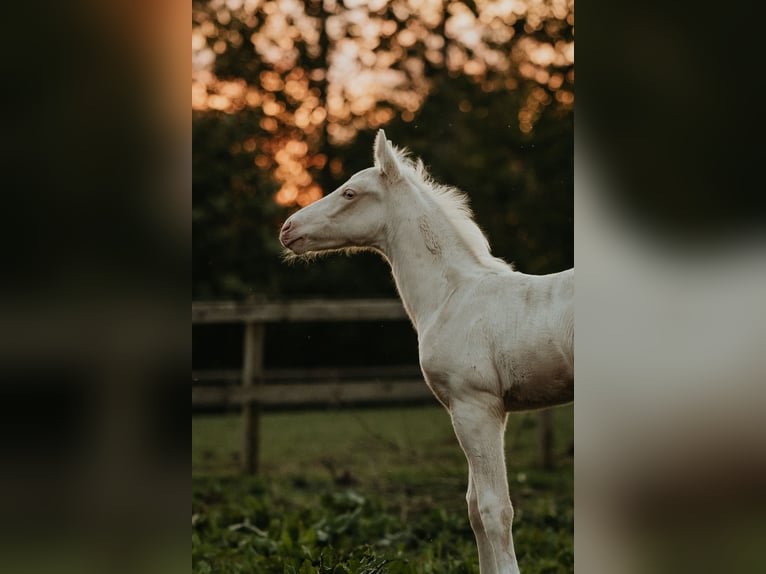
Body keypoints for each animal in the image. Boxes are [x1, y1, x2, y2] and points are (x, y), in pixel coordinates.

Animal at [280, 132, 572, 574]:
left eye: (349, 193)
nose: (287, 229)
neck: (451, 295)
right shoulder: (474, 411)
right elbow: (473, 508)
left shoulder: (476, 407)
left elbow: (493, 509)